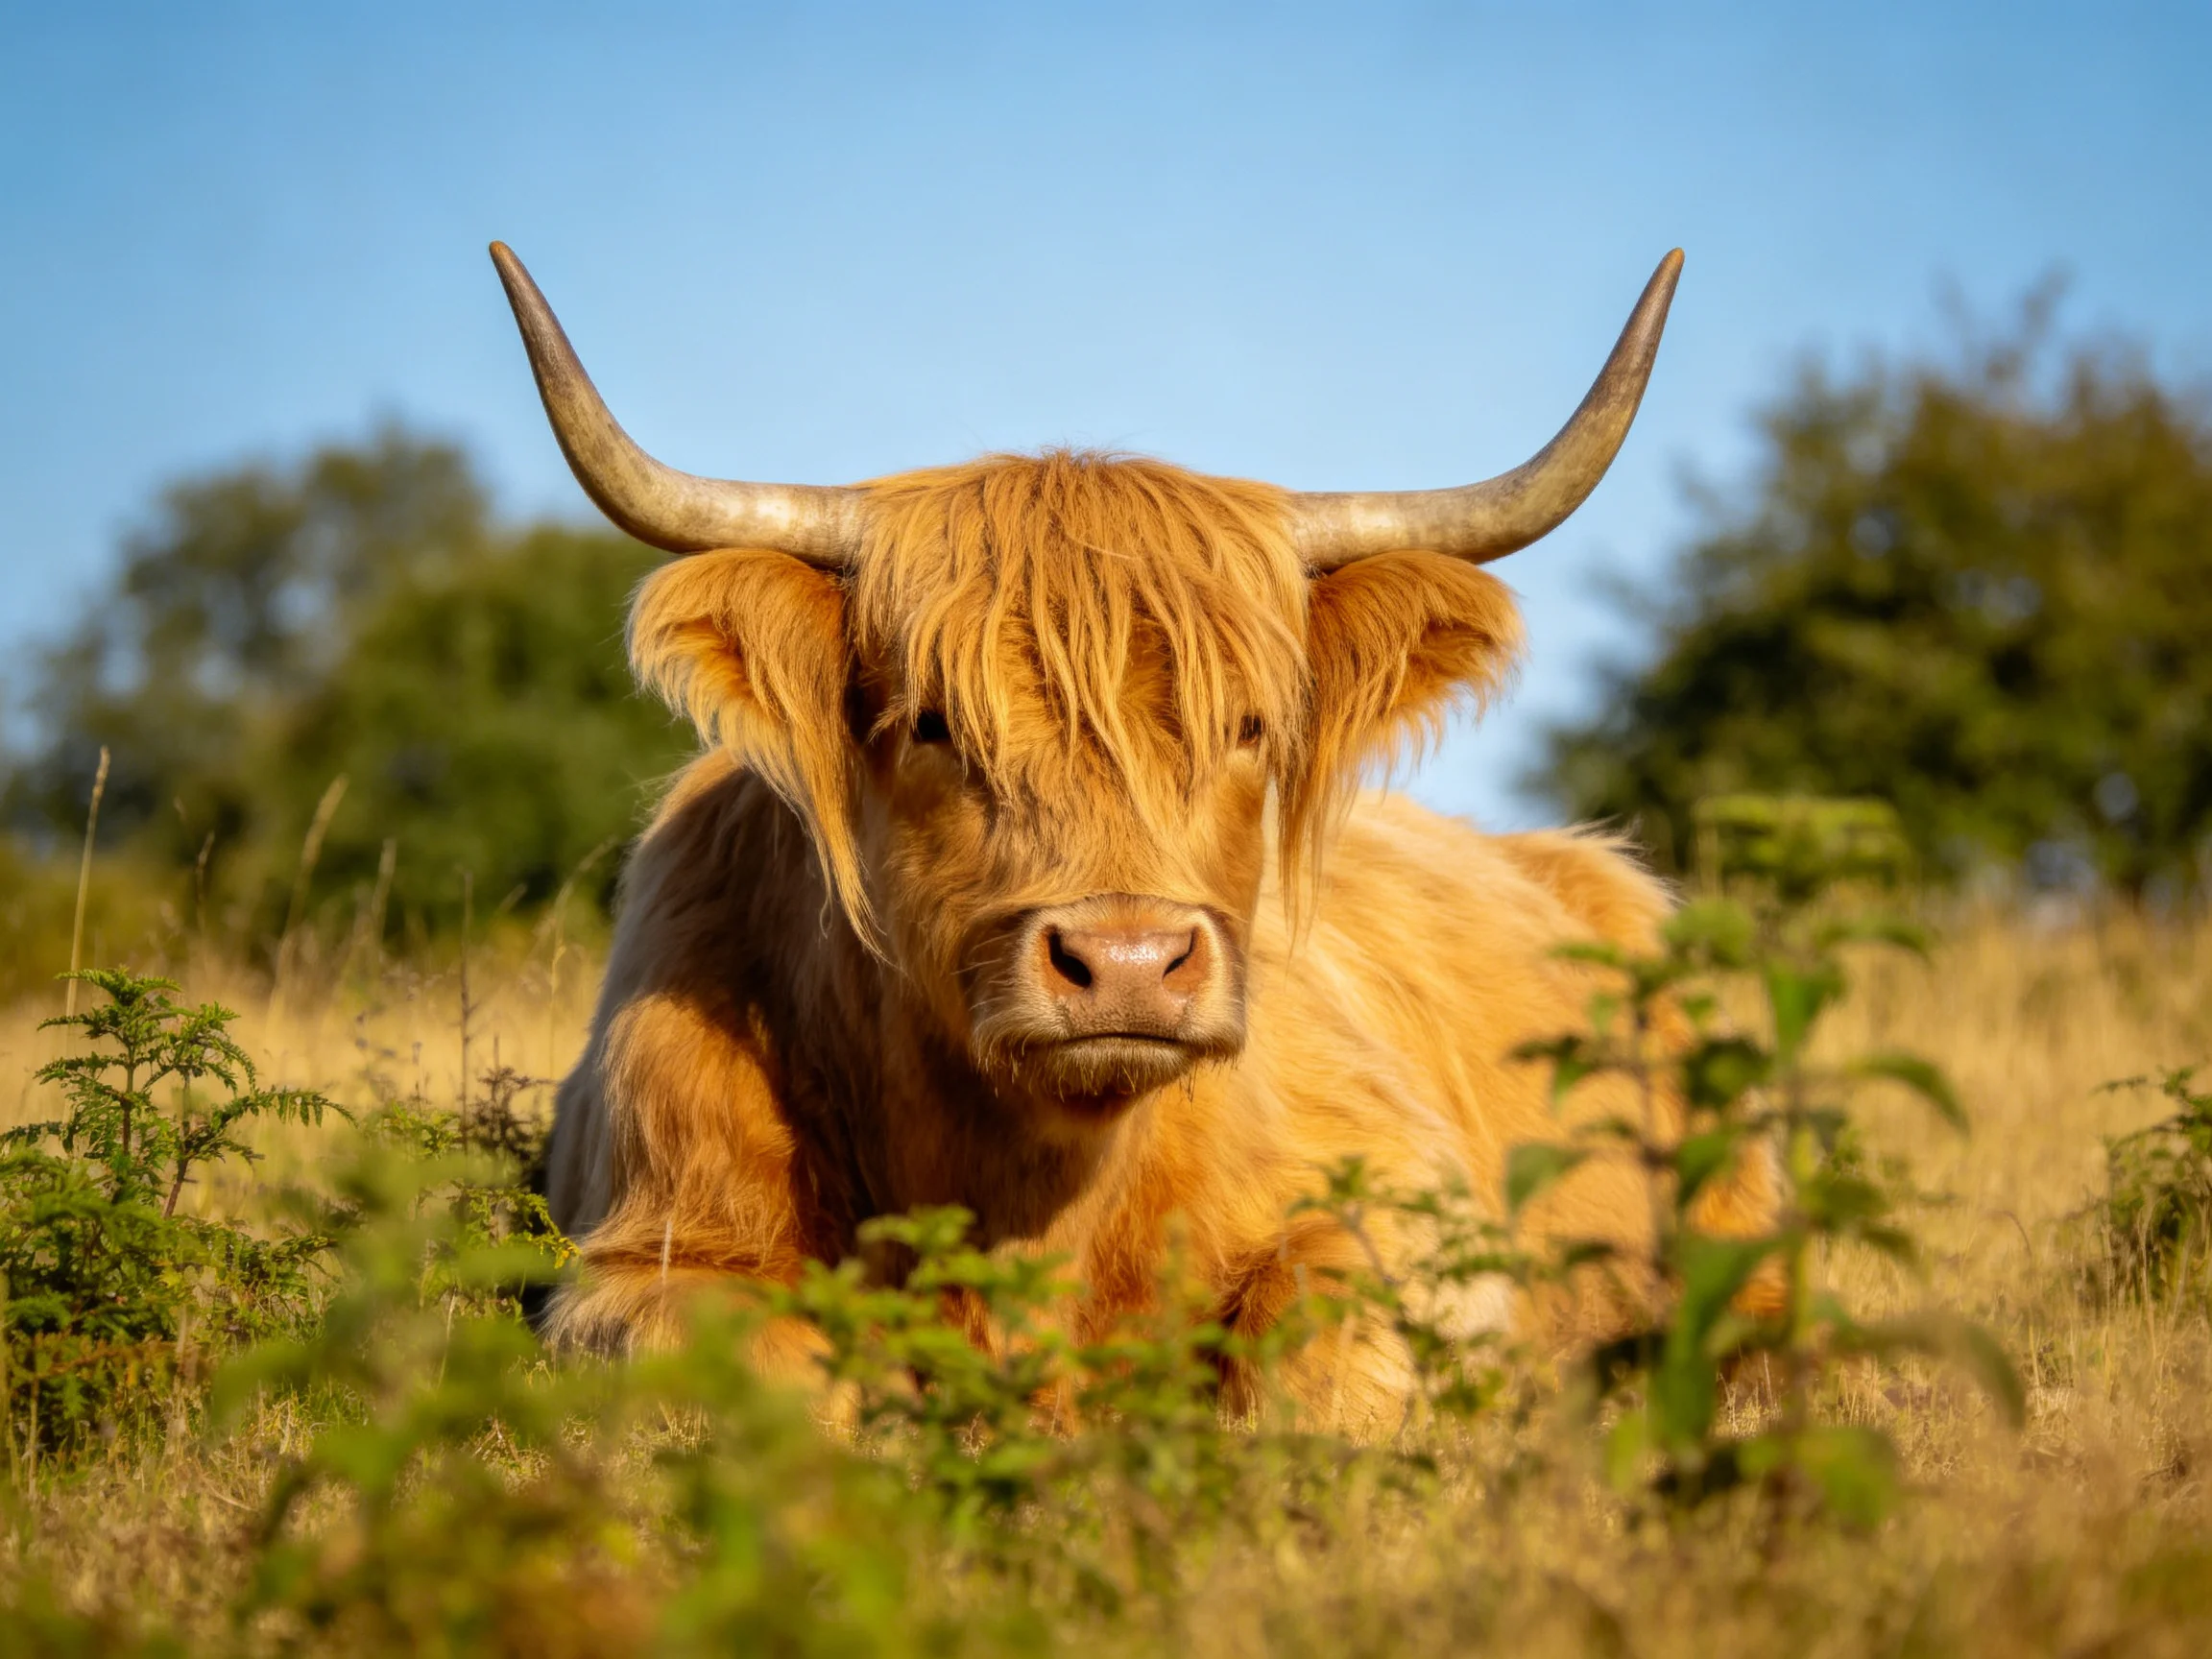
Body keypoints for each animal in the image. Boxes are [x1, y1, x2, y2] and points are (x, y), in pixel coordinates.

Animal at [489, 242, 1770, 1427]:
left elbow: (1309, 1358)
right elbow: (766, 1377)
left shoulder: (1412, 1208)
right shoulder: (643, 1253)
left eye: (1248, 726)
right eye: (933, 723)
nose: (1128, 965)